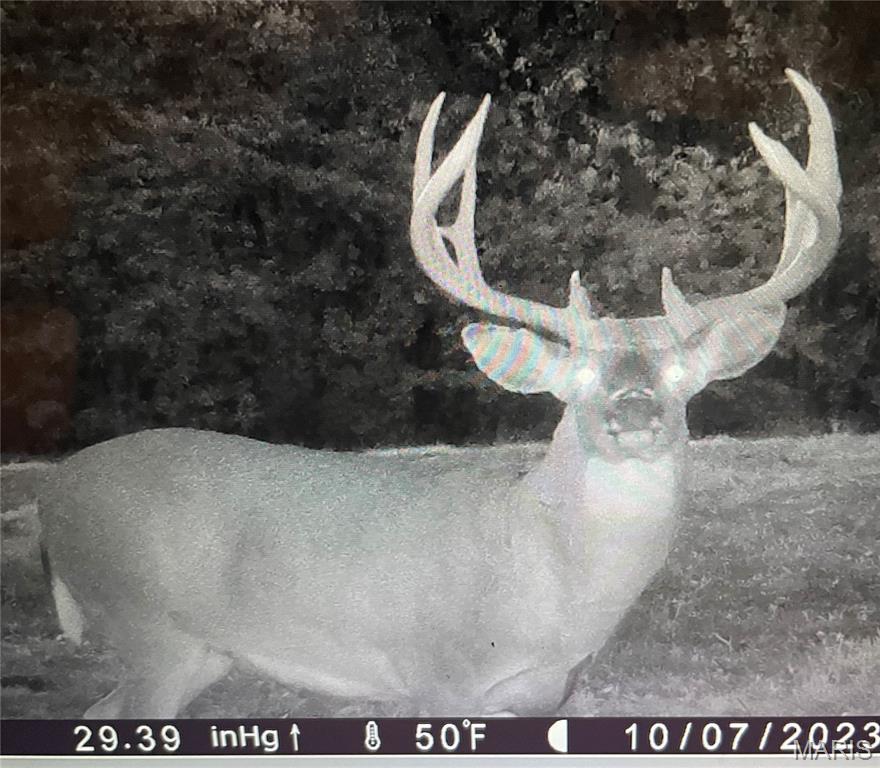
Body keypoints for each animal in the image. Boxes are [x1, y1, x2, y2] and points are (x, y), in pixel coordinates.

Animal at [39, 69, 840, 718]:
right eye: (574, 381)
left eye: (682, 380)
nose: (635, 413)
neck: (547, 584)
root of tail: (52, 500)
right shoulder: (436, 673)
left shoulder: (548, 694)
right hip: (145, 622)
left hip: (198, 653)